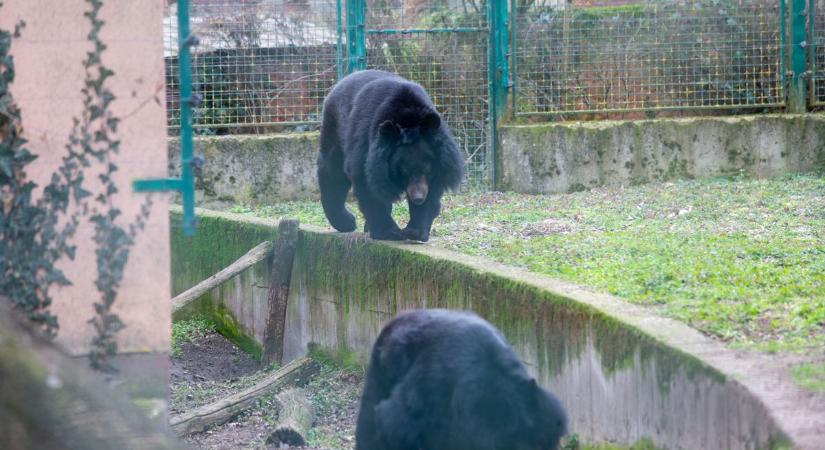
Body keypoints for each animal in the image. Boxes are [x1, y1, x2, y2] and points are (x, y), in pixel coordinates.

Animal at [316, 69, 464, 243]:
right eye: (404, 171)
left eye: (427, 170)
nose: (418, 197)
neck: (407, 117)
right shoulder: (367, 148)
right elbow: (368, 184)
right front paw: (389, 232)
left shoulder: (441, 162)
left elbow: (432, 193)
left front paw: (414, 231)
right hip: (335, 129)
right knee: (332, 173)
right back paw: (347, 222)